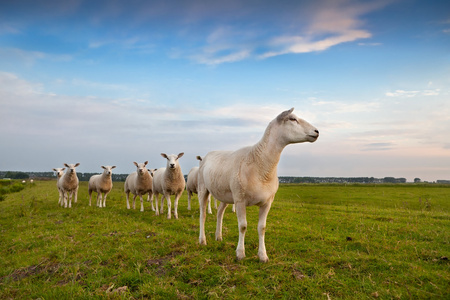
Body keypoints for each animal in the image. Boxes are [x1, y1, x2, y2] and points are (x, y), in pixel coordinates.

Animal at [198, 108, 320, 262]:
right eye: (292, 119)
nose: (317, 131)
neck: (261, 165)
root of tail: (208, 154)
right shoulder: (240, 200)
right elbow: (243, 226)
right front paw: (240, 253)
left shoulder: (267, 202)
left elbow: (262, 227)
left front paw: (263, 256)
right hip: (203, 188)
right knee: (202, 215)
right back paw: (202, 240)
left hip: (225, 194)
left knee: (220, 212)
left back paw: (218, 236)